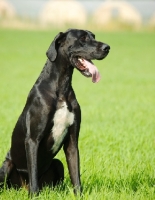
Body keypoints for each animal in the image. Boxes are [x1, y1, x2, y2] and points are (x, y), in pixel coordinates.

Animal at [0, 28, 109, 196]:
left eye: (93, 36)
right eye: (83, 38)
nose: (107, 47)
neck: (61, 88)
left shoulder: (72, 142)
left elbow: (75, 175)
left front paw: (79, 196)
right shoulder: (32, 140)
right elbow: (33, 173)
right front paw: (34, 196)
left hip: (57, 164)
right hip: (6, 166)